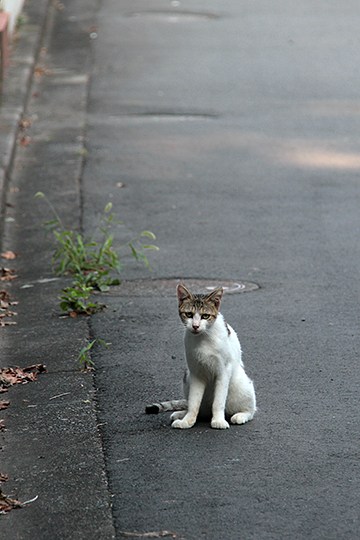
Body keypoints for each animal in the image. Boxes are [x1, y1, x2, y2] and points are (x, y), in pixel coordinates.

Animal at [145, 282, 258, 430]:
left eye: (205, 316)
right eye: (189, 314)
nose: (195, 326)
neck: (203, 338)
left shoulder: (223, 371)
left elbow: (219, 401)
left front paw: (218, 421)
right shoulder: (196, 372)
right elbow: (194, 402)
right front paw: (187, 421)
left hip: (240, 384)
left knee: (251, 409)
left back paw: (240, 415)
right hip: (187, 377)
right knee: (195, 407)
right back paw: (181, 413)